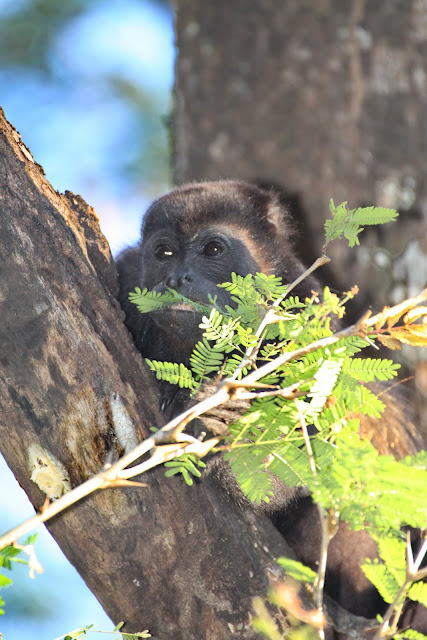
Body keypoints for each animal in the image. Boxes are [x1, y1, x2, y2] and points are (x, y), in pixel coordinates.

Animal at [116, 180, 424, 632]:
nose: (176, 277)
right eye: (163, 253)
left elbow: (289, 468)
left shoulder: (310, 321)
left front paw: (211, 421)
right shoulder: (124, 277)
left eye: (212, 249)